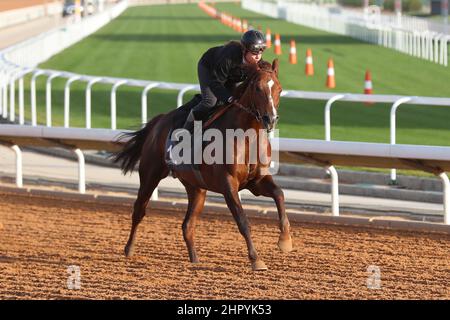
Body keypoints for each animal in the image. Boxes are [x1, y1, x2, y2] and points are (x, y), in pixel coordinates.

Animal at [114, 58, 294, 272]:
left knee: (187, 225)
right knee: (139, 210)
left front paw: (285, 241)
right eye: (257, 88)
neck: (247, 137)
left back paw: (194, 260)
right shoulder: (228, 184)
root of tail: (159, 121)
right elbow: (242, 220)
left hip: (196, 188)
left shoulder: (256, 181)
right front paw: (256, 259)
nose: (270, 119)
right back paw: (129, 249)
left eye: (280, 89)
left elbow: (279, 194)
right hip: (150, 174)